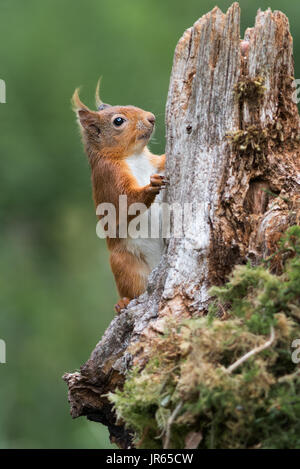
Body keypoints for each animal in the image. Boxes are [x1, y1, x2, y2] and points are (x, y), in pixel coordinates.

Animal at [72, 81, 166, 310]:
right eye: (118, 121)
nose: (151, 117)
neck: (133, 156)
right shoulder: (109, 177)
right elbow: (126, 202)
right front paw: (150, 187)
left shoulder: (153, 163)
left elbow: (162, 161)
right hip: (124, 263)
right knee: (132, 289)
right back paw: (123, 303)